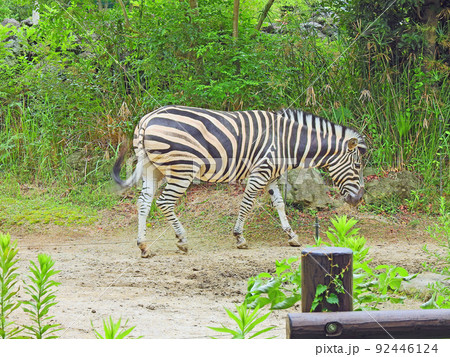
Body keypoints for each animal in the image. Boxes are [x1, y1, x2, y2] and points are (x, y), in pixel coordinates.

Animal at [111, 104, 366, 258]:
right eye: (357, 166)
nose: (359, 199)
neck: (287, 141)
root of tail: (147, 118)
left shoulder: (271, 176)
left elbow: (280, 204)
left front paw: (291, 236)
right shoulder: (260, 172)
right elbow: (247, 204)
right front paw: (240, 237)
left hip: (152, 169)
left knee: (144, 202)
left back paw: (143, 245)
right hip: (182, 168)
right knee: (164, 202)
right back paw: (182, 240)